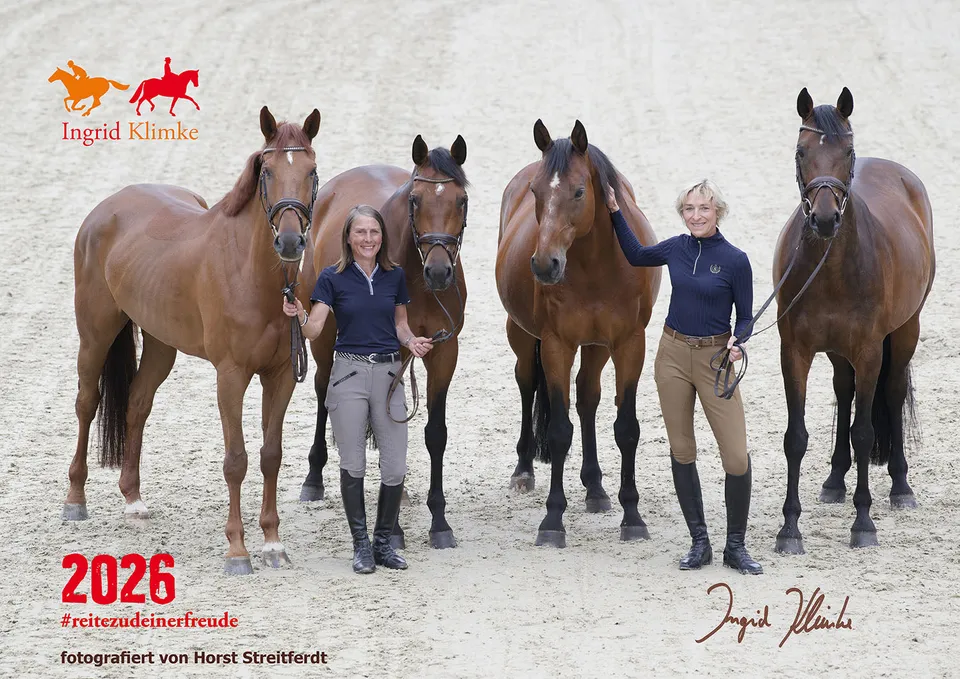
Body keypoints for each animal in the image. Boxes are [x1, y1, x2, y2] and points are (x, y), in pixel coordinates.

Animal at [65, 106, 322, 575]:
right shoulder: (231, 376)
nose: (291, 241)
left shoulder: (279, 376)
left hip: (160, 344)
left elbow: (270, 455)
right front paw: (237, 551)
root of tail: (107, 208)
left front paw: (273, 543)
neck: (253, 275)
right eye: (268, 171)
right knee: (87, 403)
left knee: (136, 403)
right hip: (94, 334)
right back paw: (75, 500)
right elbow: (236, 460)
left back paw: (133, 500)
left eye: (311, 171)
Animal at [496, 120, 661, 547]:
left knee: (587, 396)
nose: (544, 264)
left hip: (597, 346)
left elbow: (626, 428)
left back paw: (596, 488)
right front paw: (552, 520)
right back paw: (524, 470)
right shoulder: (557, 345)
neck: (595, 265)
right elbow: (558, 430)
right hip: (522, 336)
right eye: (536, 192)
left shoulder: (628, 344)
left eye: (579, 191)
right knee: (526, 384)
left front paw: (632, 516)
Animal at [773, 87, 935, 554]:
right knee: (843, 391)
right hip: (836, 351)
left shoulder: (867, 352)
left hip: (905, 332)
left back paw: (901, 486)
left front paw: (863, 523)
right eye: (801, 151)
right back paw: (834, 480)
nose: (825, 219)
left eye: (847, 152)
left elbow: (863, 432)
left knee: (893, 392)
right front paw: (790, 529)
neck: (830, 266)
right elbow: (796, 438)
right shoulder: (795, 352)